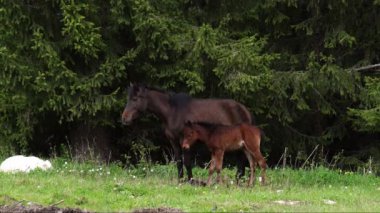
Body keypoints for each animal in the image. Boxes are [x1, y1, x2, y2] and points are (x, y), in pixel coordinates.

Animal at [121, 83, 252, 181]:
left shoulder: (184, 140)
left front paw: (190, 180)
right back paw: (238, 179)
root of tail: (243, 109)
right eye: (128, 99)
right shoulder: (173, 141)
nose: (124, 118)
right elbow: (179, 161)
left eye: (135, 99)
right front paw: (180, 180)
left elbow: (187, 162)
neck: (173, 111)